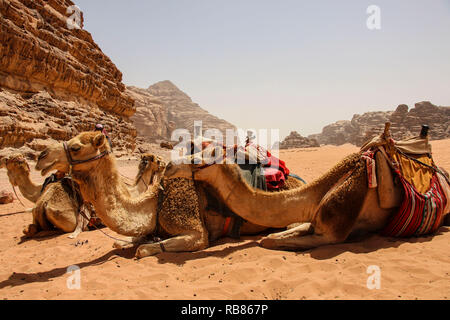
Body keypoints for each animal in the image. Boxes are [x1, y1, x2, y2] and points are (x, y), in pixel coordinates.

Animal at [33, 131, 304, 258]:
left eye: (76, 147)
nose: (41, 156)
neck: (155, 202)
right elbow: (126, 242)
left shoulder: (196, 233)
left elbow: (143, 249)